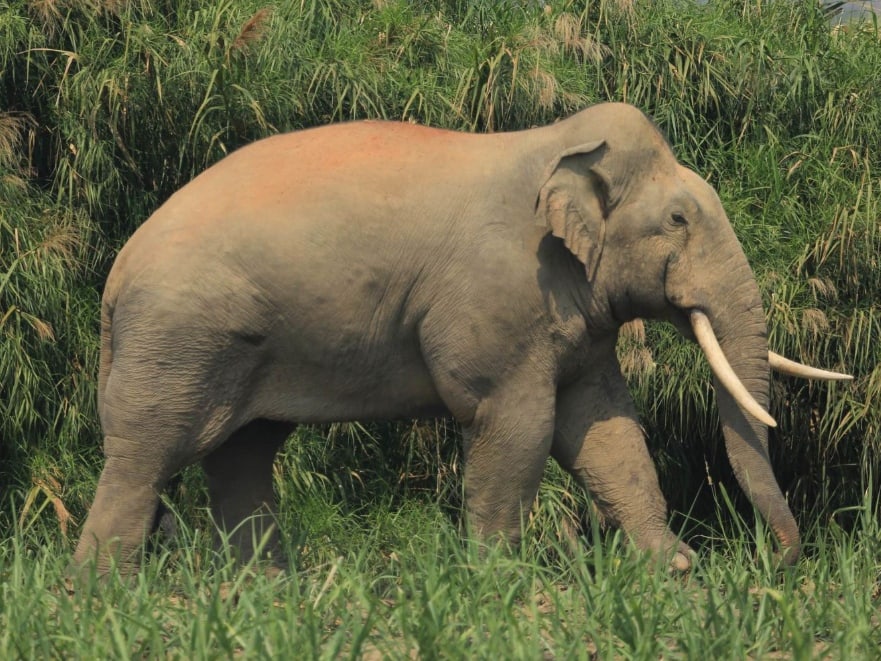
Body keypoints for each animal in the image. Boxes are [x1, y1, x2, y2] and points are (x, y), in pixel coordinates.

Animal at [72, 102, 850, 575]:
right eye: (679, 220)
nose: (779, 562)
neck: (557, 145)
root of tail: (114, 275)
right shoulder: (500, 297)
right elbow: (518, 424)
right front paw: (499, 583)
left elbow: (603, 426)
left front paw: (671, 571)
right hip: (179, 338)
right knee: (148, 456)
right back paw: (102, 594)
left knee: (242, 456)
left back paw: (267, 593)